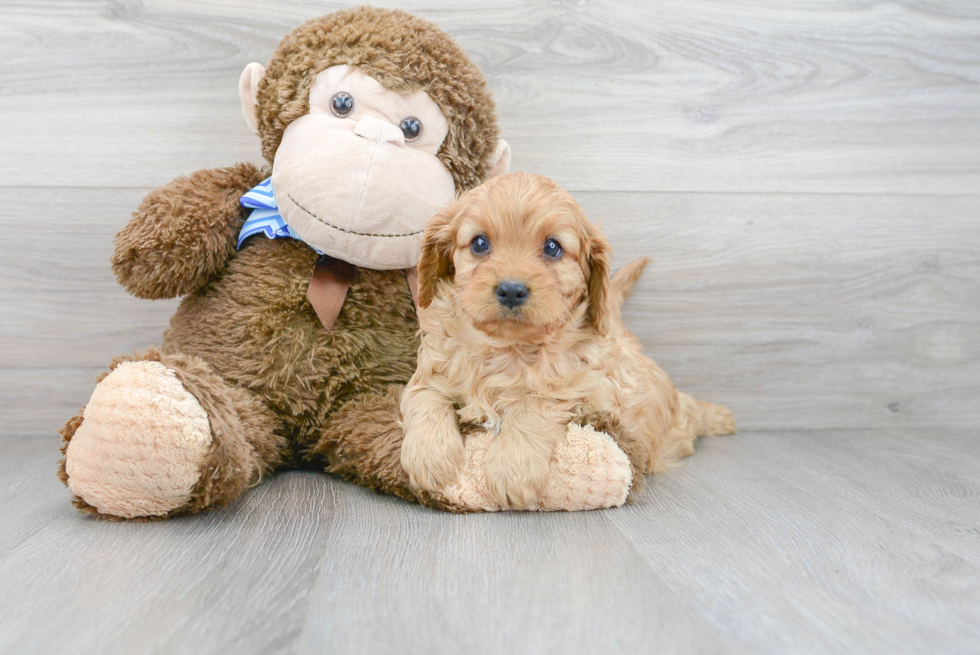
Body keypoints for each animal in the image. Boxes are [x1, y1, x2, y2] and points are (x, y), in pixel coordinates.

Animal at [400, 173, 736, 508]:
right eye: (479, 243)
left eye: (553, 247)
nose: (511, 290)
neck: (509, 349)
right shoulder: (430, 371)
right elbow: (425, 397)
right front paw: (429, 457)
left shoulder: (590, 388)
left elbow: (537, 401)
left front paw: (514, 468)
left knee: (689, 411)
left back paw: (720, 418)